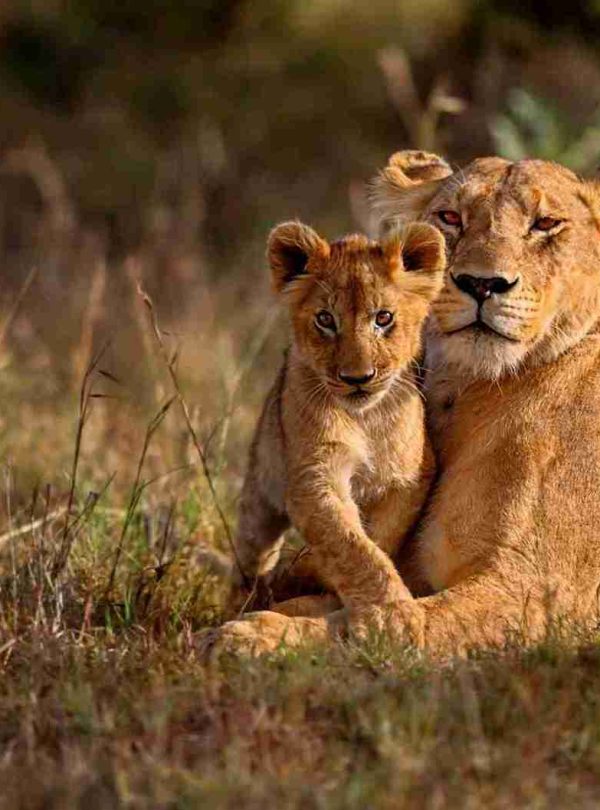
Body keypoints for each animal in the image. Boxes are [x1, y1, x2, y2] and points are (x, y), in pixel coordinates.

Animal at [220, 219, 445, 627]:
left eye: (383, 318)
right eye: (325, 319)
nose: (358, 378)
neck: (365, 418)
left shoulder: (410, 478)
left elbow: (377, 538)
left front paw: (314, 575)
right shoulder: (314, 476)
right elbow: (350, 546)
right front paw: (391, 615)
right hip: (260, 491)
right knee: (251, 552)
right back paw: (245, 597)